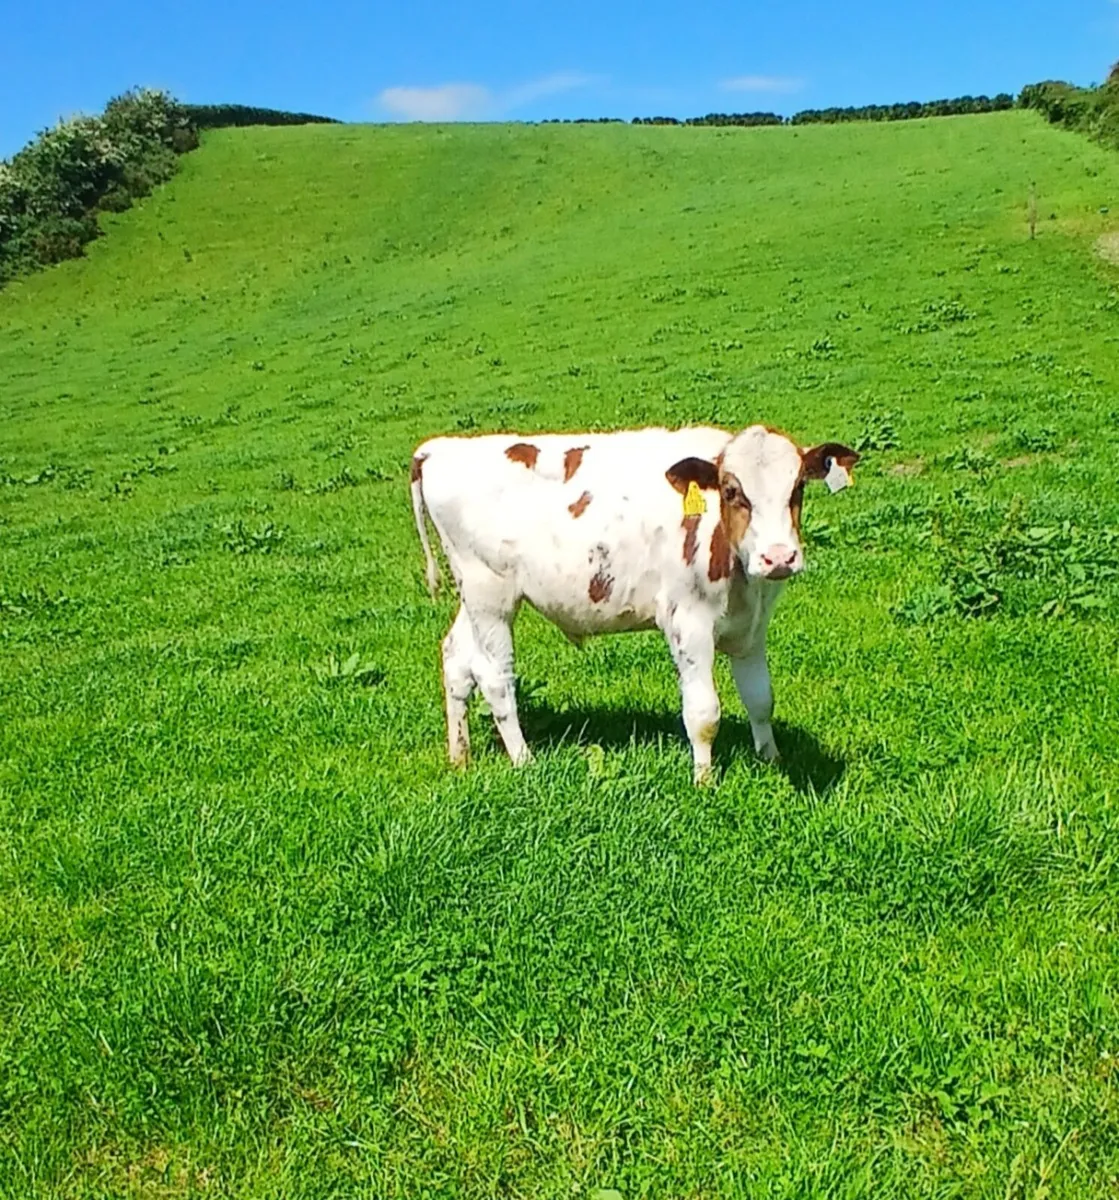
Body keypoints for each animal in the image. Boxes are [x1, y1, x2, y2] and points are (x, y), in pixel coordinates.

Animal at [409, 425, 858, 783]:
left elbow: (761, 699)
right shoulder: (688, 623)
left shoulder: (753, 626)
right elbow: (703, 713)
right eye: (733, 491)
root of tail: (437, 449)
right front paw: (704, 780)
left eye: (797, 487)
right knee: (494, 676)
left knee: (456, 659)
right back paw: (524, 760)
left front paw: (771, 760)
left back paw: (460, 756)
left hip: (472, 597)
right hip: (491, 595)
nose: (779, 557)